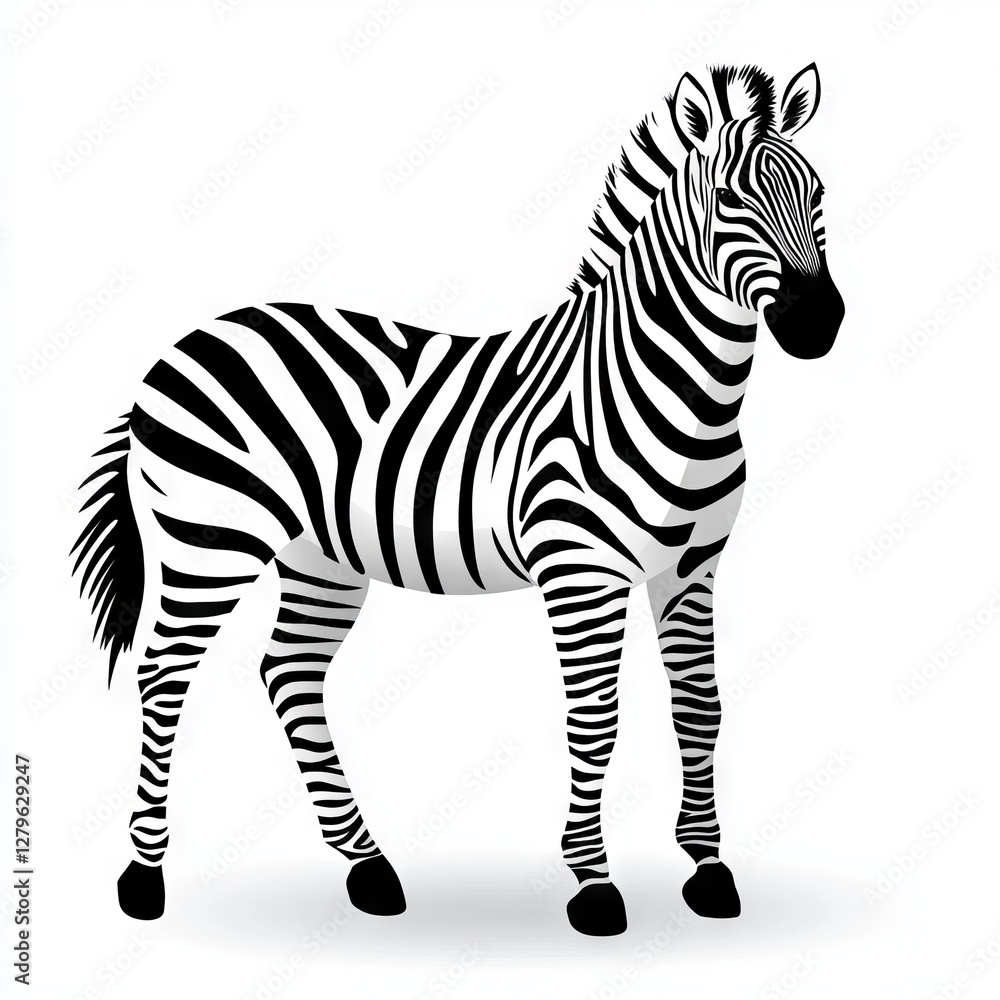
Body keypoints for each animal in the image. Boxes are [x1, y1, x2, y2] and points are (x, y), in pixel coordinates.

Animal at [72, 63, 844, 936]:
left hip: (319, 558)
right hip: (209, 540)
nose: (820, 324)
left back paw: (368, 867)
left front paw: (708, 868)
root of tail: (181, 345)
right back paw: (144, 876)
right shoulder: (580, 572)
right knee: (163, 674)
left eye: (818, 194)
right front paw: (593, 882)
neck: (675, 397)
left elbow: (700, 710)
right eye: (729, 198)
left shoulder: (692, 569)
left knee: (289, 671)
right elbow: (595, 721)